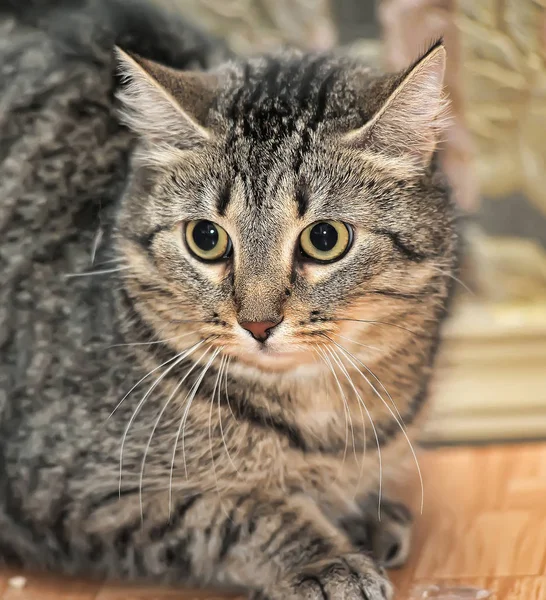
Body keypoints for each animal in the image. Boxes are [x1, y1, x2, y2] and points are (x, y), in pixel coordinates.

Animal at [0, 1, 456, 600]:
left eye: (325, 238)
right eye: (206, 238)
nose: (258, 324)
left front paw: (364, 515)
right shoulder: (76, 490)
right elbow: (237, 510)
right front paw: (325, 557)